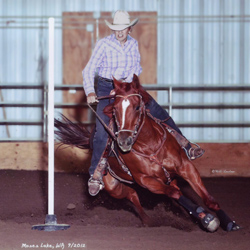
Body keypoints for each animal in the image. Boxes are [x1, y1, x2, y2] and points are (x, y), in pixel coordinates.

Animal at [55, 74, 240, 232]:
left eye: (137, 107)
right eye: (114, 109)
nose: (124, 141)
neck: (149, 146)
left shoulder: (185, 167)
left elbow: (209, 200)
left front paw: (229, 223)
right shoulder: (146, 181)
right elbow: (175, 193)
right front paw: (208, 219)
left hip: (168, 177)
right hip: (113, 187)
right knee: (133, 195)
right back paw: (149, 220)